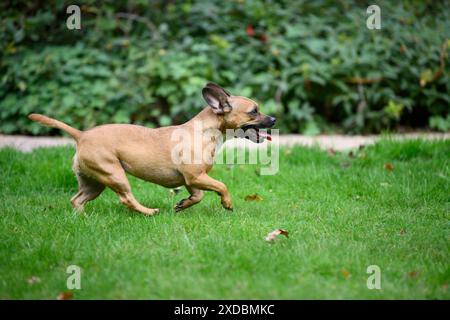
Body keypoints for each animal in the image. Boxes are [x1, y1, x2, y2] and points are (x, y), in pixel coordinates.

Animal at [29, 84, 274, 216]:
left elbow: (198, 196)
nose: (273, 119)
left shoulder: (192, 180)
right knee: (126, 199)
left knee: (77, 200)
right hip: (114, 174)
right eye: (254, 111)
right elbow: (221, 186)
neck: (206, 130)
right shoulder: (196, 177)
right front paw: (227, 203)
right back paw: (148, 212)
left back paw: (82, 218)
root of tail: (81, 135)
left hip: (94, 182)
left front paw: (183, 204)